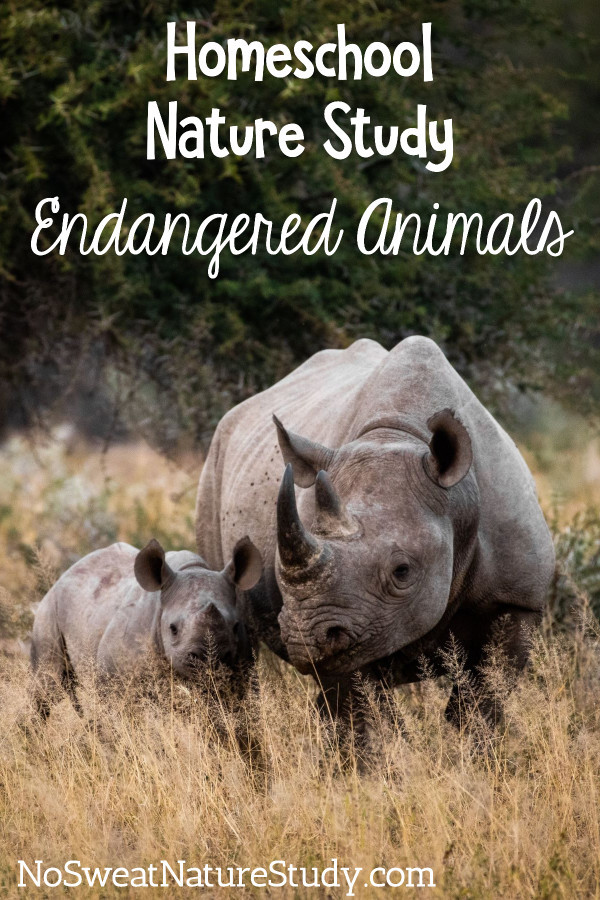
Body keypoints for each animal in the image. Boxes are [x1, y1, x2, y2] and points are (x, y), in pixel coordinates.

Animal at [30, 536, 262, 717]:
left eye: (235, 626)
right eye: (173, 629)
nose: (208, 660)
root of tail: (65, 574)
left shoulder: (243, 673)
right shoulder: (113, 680)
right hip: (48, 611)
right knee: (46, 688)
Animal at [195, 337, 555, 725]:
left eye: (402, 571)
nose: (306, 637)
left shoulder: (516, 599)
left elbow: (482, 702)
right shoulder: (352, 621)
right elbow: (363, 713)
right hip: (213, 467)